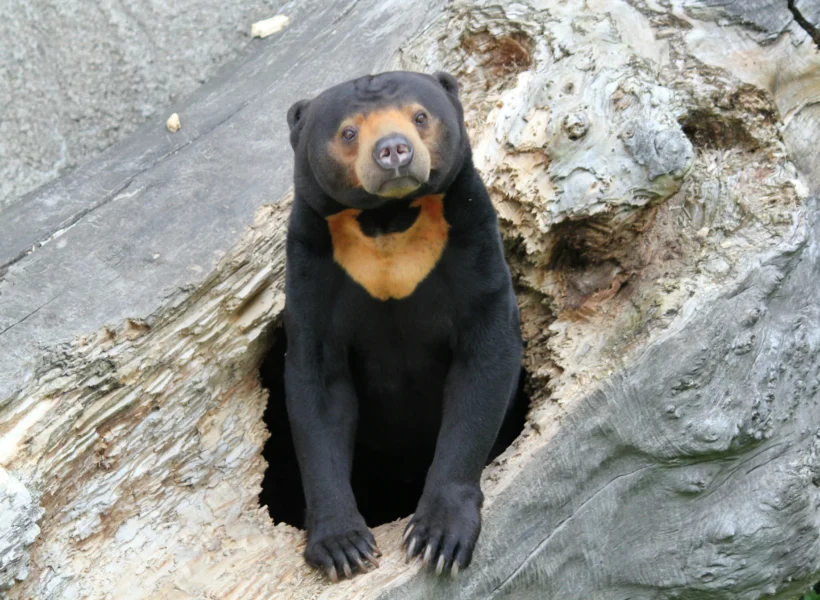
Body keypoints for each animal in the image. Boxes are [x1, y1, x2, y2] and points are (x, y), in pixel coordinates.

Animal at [283, 70, 523, 582]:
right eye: (348, 132)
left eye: (420, 116)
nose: (394, 150)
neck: (387, 220)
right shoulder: (313, 262)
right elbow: (318, 391)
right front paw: (343, 546)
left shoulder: (469, 234)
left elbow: (485, 359)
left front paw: (438, 538)